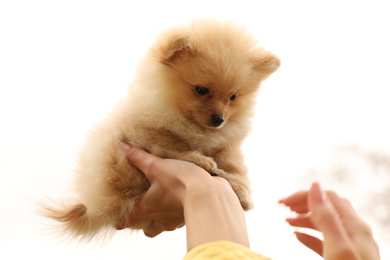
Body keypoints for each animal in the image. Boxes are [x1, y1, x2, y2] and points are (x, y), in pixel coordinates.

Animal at [42, 20, 280, 242]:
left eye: (233, 97)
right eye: (201, 90)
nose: (219, 119)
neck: (191, 124)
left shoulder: (226, 144)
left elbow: (234, 164)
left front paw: (240, 190)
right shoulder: (143, 130)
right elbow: (173, 144)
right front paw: (200, 160)